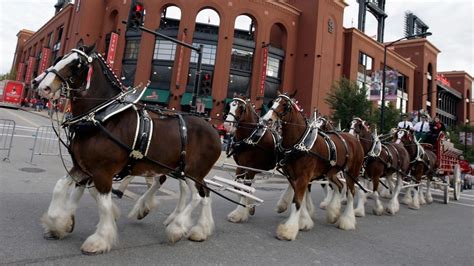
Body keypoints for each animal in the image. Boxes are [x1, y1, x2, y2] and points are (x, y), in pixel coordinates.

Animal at [33, 46, 222, 255]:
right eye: (59, 58)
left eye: (77, 64)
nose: (43, 87)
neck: (100, 118)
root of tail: (214, 130)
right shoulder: (83, 167)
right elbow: (62, 187)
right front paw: (59, 223)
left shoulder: (102, 171)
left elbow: (103, 204)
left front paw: (99, 240)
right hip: (183, 170)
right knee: (203, 193)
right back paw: (199, 229)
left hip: (192, 172)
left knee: (197, 195)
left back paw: (177, 227)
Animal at [262, 92, 364, 240]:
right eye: (272, 102)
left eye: (285, 105)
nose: (266, 120)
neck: (300, 142)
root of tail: (354, 140)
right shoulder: (293, 177)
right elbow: (301, 199)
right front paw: (304, 221)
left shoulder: (303, 177)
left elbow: (297, 202)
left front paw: (288, 230)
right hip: (331, 172)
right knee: (339, 186)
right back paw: (333, 213)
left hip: (352, 172)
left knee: (351, 193)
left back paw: (347, 221)